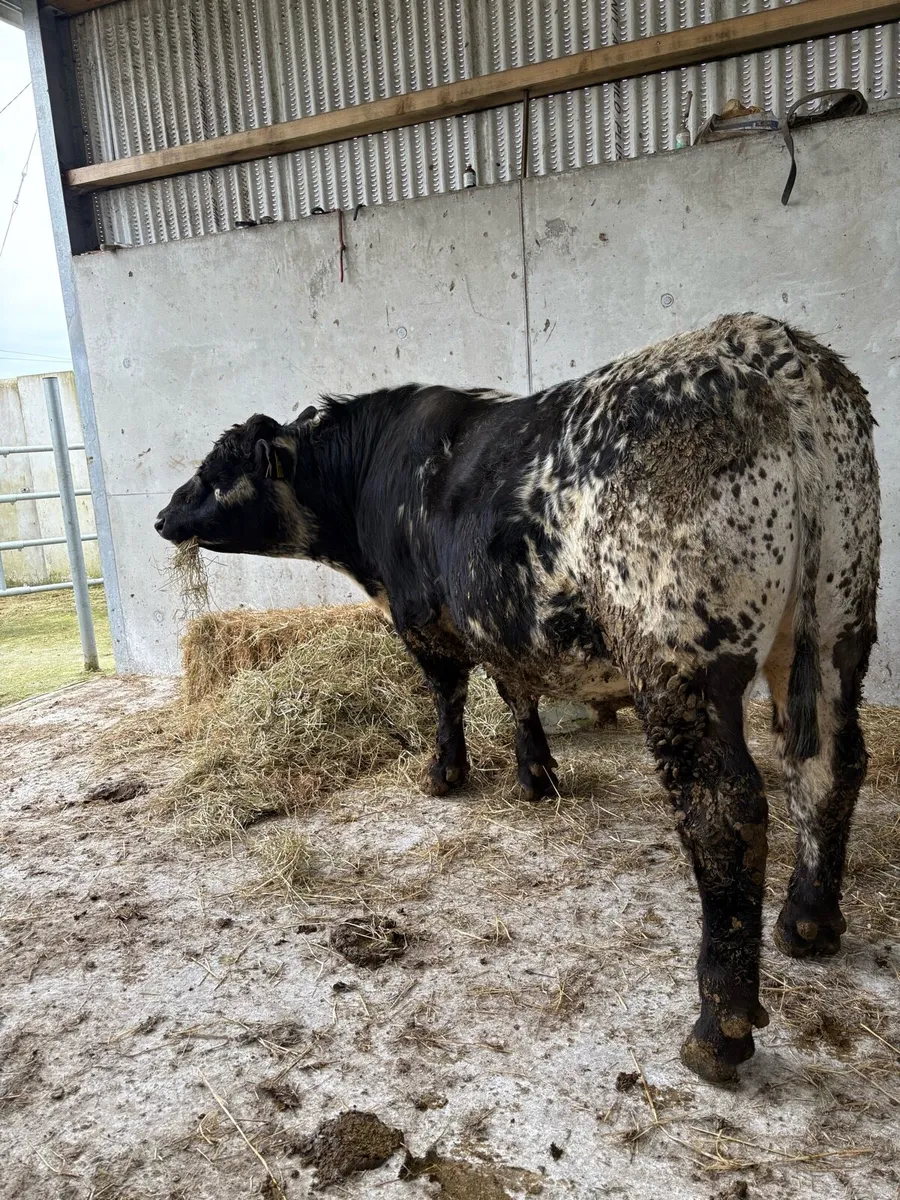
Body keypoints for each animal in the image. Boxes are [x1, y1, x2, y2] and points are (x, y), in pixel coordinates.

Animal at [156, 313, 880, 1084]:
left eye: (217, 469)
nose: (163, 517)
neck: (371, 479)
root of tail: (764, 344)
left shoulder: (422, 617)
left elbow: (448, 694)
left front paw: (445, 774)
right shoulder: (503, 621)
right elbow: (516, 690)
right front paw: (536, 776)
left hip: (679, 655)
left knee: (725, 811)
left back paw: (720, 1028)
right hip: (835, 625)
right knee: (832, 765)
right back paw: (808, 922)